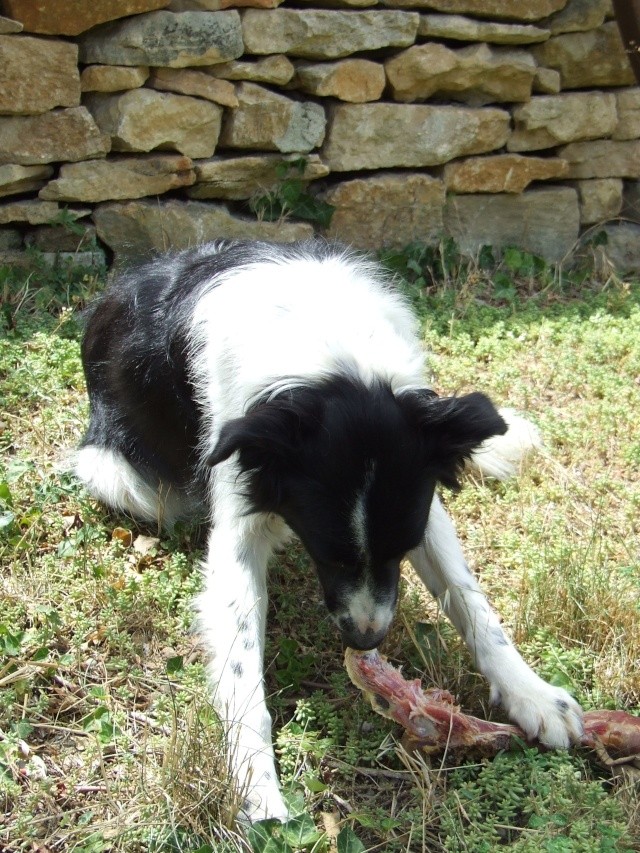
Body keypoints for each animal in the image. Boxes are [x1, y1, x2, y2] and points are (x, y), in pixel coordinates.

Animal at [76, 238, 584, 820]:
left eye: (398, 551)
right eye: (328, 554)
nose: (367, 639)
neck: (334, 361)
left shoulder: (422, 509)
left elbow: (472, 602)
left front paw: (533, 693)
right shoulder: (241, 507)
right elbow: (242, 662)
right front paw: (257, 787)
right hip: (116, 473)